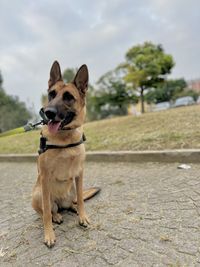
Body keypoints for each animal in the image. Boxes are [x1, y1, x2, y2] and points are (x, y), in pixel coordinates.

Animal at [31, 61, 99, 249]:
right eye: (51, 94)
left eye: (68, 97)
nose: (48, 112)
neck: (64, 138)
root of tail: (61, 203)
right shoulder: (45, 177)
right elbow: (46, 213)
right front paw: (49, 234)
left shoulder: (79, 173)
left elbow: (82, 200)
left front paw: (82, 216)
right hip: (38, 193)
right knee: (47, 210)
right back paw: (56, 216)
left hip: (73, 189)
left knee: (74, 201)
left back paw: (73, 208)